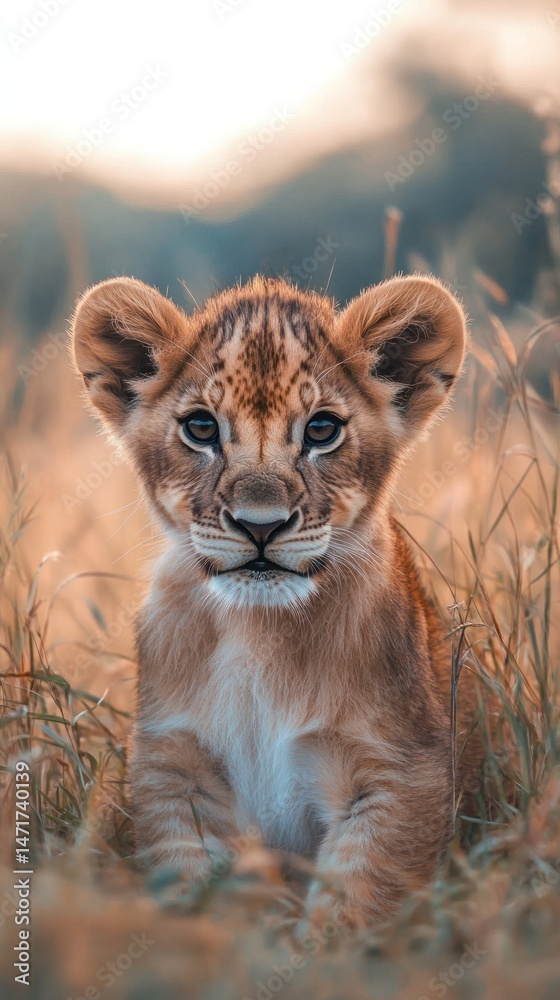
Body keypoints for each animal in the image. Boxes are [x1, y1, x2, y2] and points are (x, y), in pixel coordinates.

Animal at [71, 272, 479, 927]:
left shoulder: (403, 770)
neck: (258, 630)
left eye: (321, 429)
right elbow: (198, 889)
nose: (259, 525)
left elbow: (356, 901)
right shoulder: (174, 767)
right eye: (202, 428)